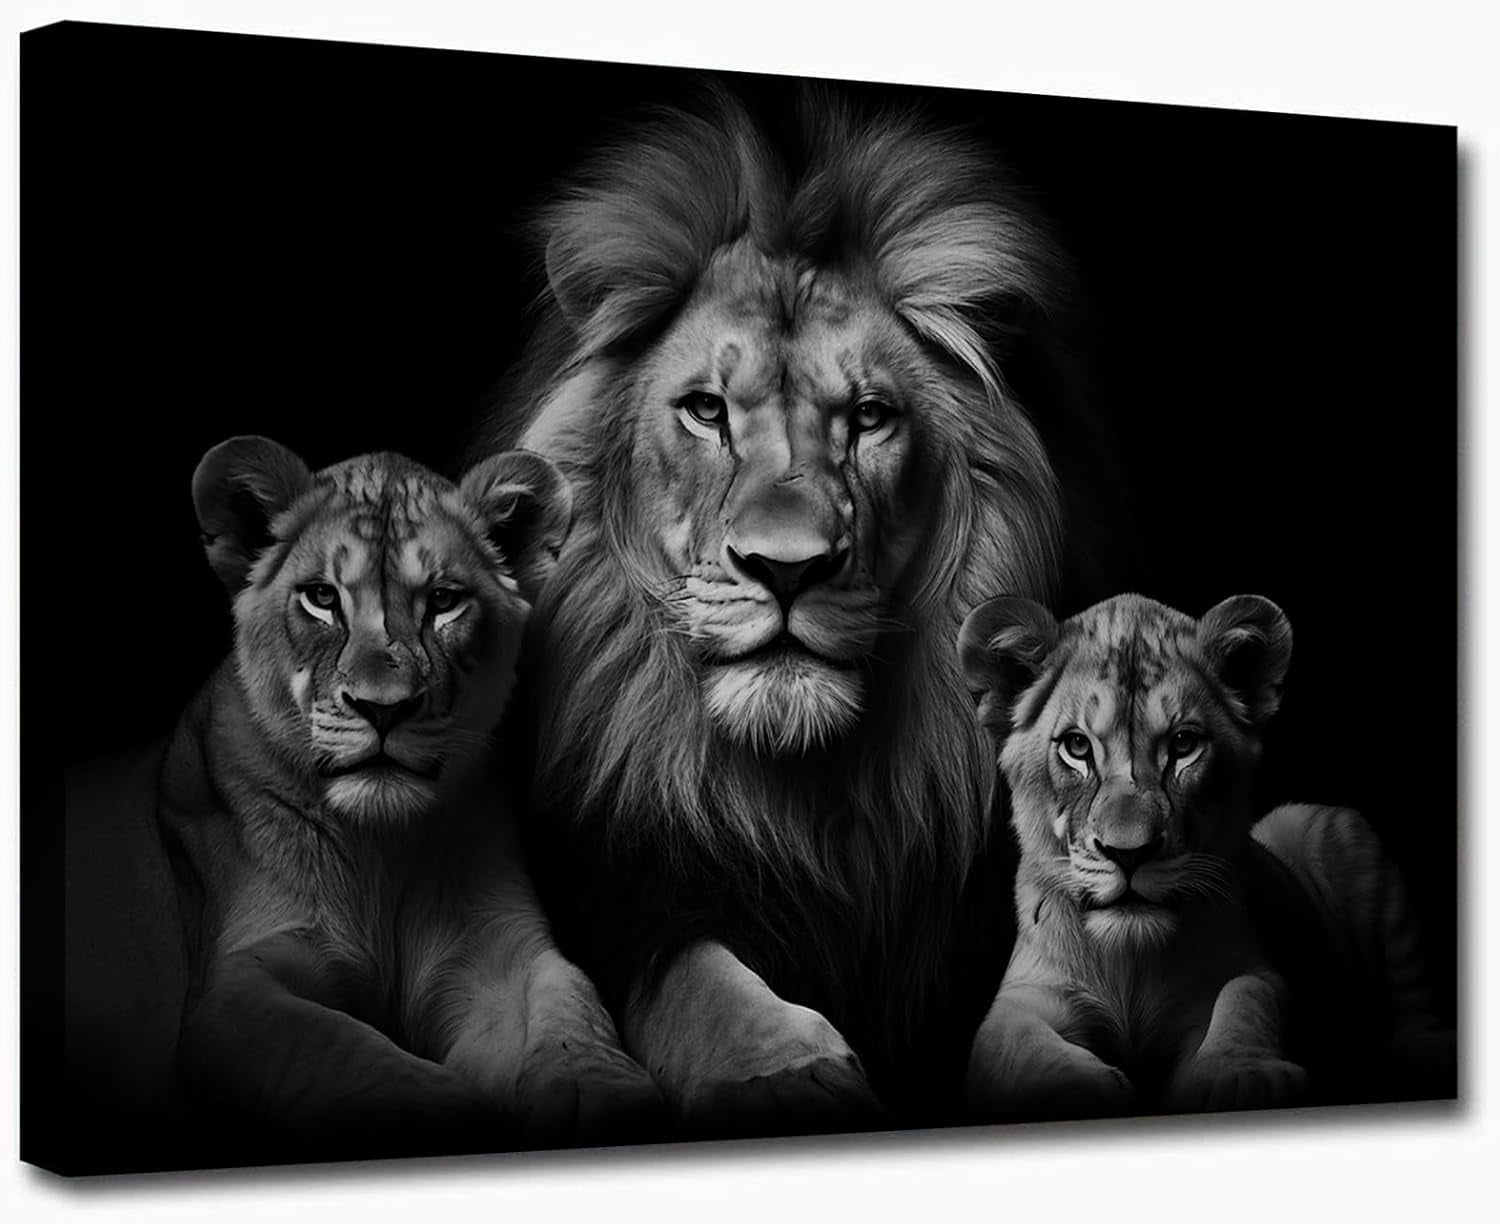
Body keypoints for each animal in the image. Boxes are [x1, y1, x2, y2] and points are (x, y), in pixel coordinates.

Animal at [60, 437, 662, 1170]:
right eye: (321, 598)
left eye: (444, 601)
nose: (384, 708)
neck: (383, 847)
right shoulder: (237, 983)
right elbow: (338, 1051)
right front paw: (454, 1118)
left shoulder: (499, 952)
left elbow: (572, 1002)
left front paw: (607, 1094)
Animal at [472, 85, 1125, 1132]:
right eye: (706, 411)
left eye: (869, 417)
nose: (788, 570)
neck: (803, 802)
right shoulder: (618, 895)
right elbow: (696, 974)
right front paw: (784, 1069)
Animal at [957, 591, 1456, 1121]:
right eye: (1076, 746)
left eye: (1183, 744)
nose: (1128, 854)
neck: (1131, 959)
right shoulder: (1028, 994)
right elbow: (1009, 1036)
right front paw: (1075, 1088)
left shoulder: (1239, 974)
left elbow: (1249, 995)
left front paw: (1243, 1075)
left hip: (1333, 827)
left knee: (1411, 995)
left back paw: (1429, 1050)